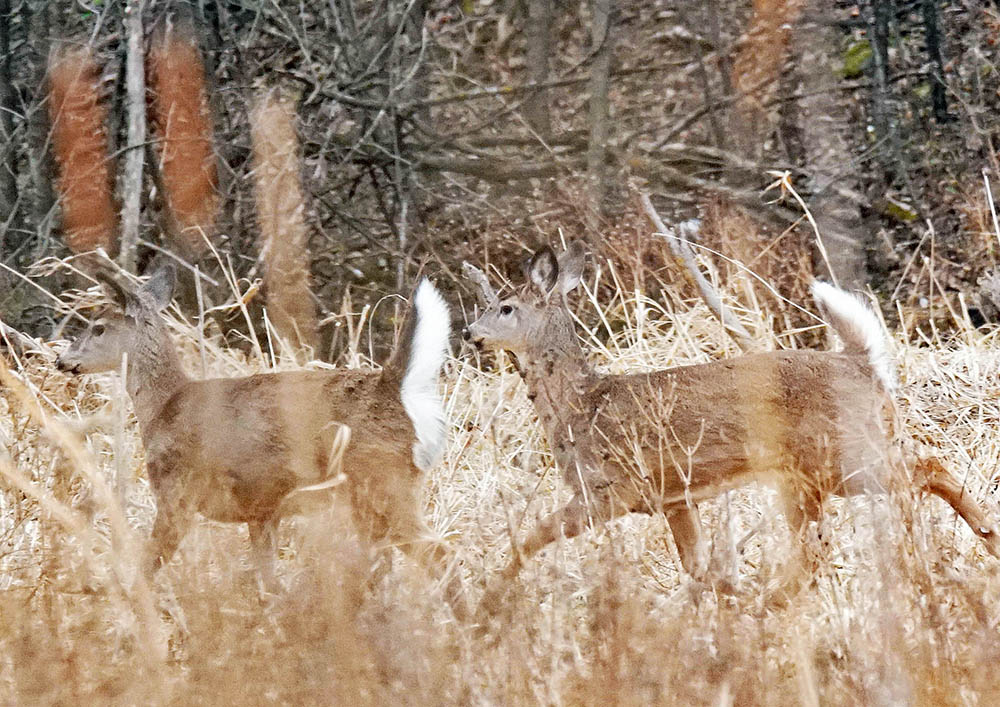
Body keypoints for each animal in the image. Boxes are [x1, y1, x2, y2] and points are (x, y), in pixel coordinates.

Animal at [58, 266, 468, 620]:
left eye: (98, 327)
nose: (63, 360)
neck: (163, 407)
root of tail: (396, 390)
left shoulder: (177, 495)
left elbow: (147, 566)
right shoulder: (263, 511)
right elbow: (269, 584)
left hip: (384, 486)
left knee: (442, 554)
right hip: (378, 498)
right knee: (387, 565)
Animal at [462, 242, 1000, 612]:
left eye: (505, 307)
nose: (470, 334)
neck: (580, 406)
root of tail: (861, 361)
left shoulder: (610, 489)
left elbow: (532, 536)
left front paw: (485, 599)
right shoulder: (674, 498)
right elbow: (698, 567)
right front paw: (719, 604)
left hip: (838, 456)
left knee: (922, 470)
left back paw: (976, 537)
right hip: (810, 473)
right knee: (823, 543)